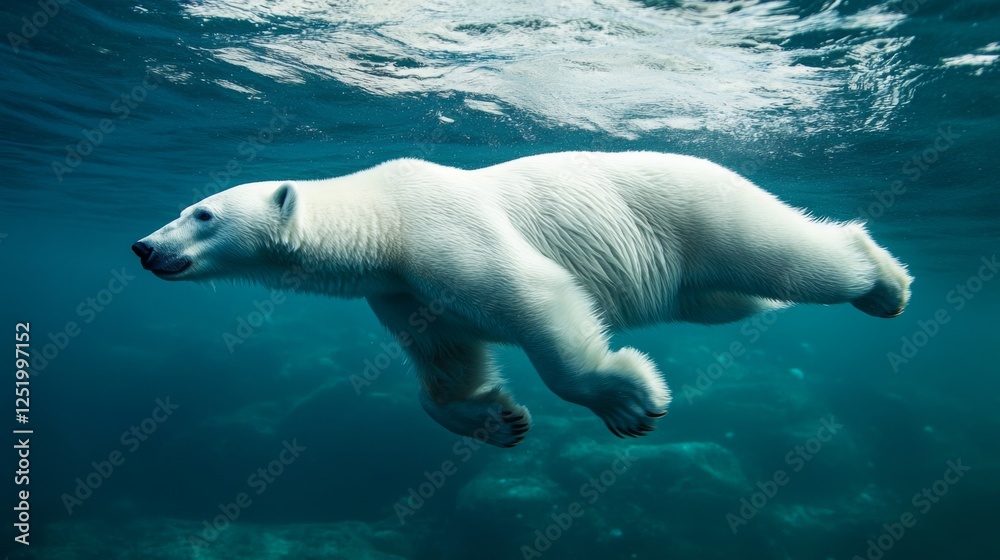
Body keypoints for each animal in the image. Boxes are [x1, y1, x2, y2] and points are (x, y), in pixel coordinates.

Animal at [132, 151, 912, 447]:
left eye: (201, 213)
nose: (142, 247)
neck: (384, 219)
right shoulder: (400, 289)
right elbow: (444, 360)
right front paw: (497, 419)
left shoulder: (443, 234)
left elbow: (537, 298)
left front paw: (629, 402)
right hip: (703, 280)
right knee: (740, 299)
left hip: (702, 211)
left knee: (791, 262)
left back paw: (884, 282)